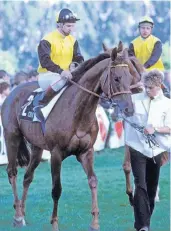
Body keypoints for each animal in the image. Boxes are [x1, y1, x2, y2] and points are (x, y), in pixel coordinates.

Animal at [1, 46, 139, 230]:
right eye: (116, 78)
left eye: (129, 77)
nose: (129, 109)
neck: (78, 112)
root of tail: (12, 93)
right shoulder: (56, 154)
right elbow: (56, 189)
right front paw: (54, 223)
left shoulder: (86, 152)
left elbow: (93, 181)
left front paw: (95, 222)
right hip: (12, 137)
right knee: (12, 172)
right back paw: (17, 216)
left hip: (37, 148)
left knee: (27, 177)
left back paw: (22, 213)